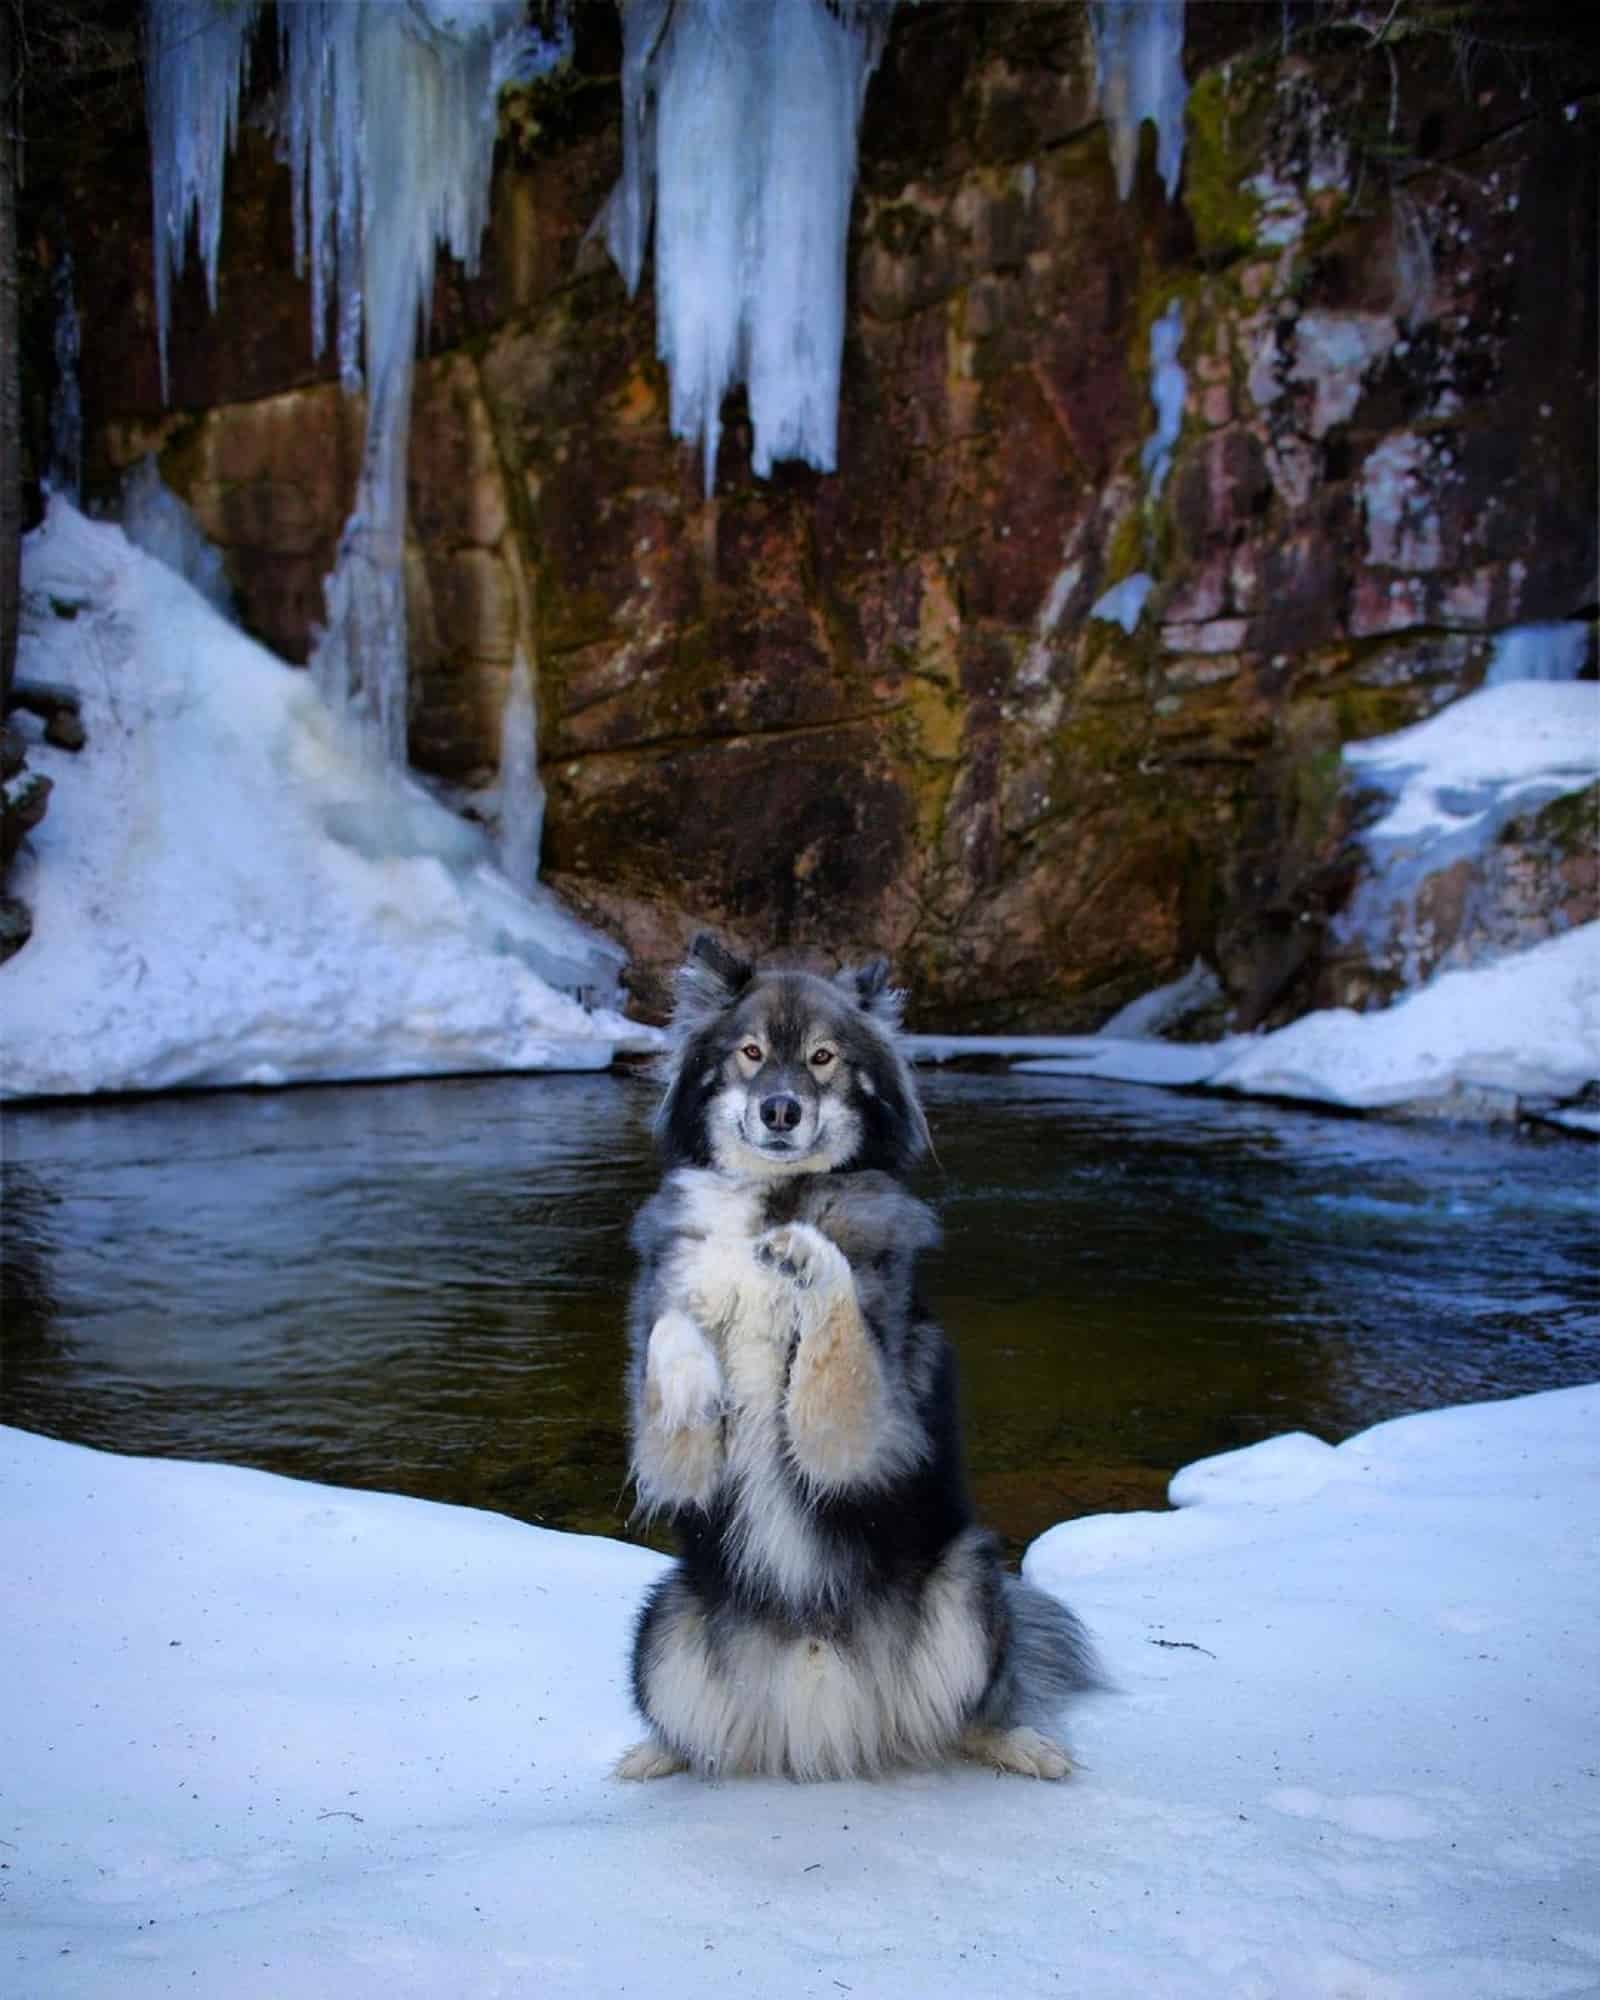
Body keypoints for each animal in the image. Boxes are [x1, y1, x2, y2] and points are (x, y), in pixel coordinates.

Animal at [616, 932, 1104, 1784]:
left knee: (972, 1713)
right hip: (662, 1624)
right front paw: (688, 1383)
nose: (780, 1110)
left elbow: (834, 1319)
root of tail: (829, 1725)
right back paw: (656, 1755)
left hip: (969, 1582)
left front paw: (808, 1254)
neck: (775, 1202)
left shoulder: (859, 1440)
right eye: (749, 1052)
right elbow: (672, 1326)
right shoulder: (676, 1458)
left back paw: (1022, 1745)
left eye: (822, 1058)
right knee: (699, 1735)